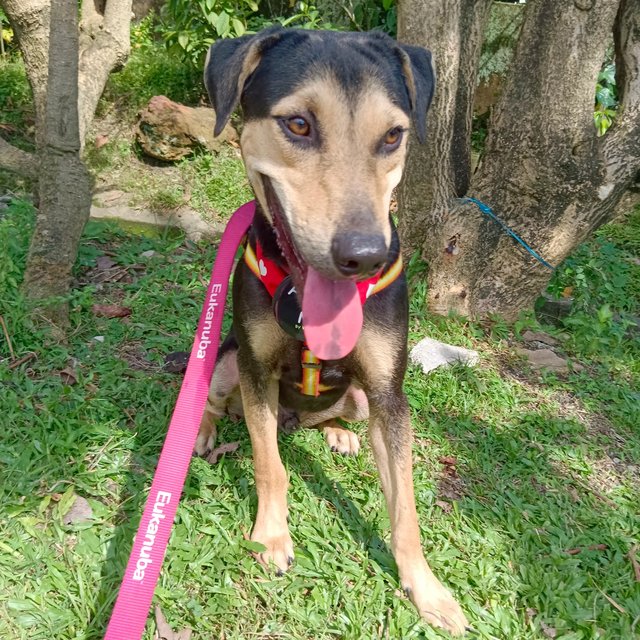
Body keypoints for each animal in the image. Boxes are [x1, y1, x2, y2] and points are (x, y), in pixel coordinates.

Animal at [195, 26, 470, 636]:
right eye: (298, 124)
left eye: (392, 136)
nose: (363, 257)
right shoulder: (254, 368)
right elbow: (270, 466)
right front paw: (272, 538)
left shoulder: (391, 397)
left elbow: (405, 508)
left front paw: (427, 590)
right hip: (225, 360)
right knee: (214, 400)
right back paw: (203, 431)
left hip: (364, 401)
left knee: (337, 415)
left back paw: (338, 432)